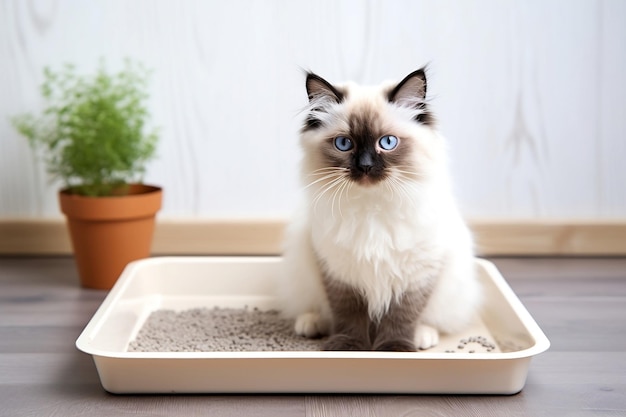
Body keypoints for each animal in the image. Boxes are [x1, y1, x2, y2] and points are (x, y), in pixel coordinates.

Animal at [280, 68, 480, 352]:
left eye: (387, 142)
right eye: (344, 144)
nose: (365, 166)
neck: (371, 208)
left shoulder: (418, 275)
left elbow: (401, 317)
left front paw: (394, 350)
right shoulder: (340, 274)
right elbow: (348, 315)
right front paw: (348, 347)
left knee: (433, 320)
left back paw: (423, 337)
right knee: (315, 309)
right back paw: (311, 324)